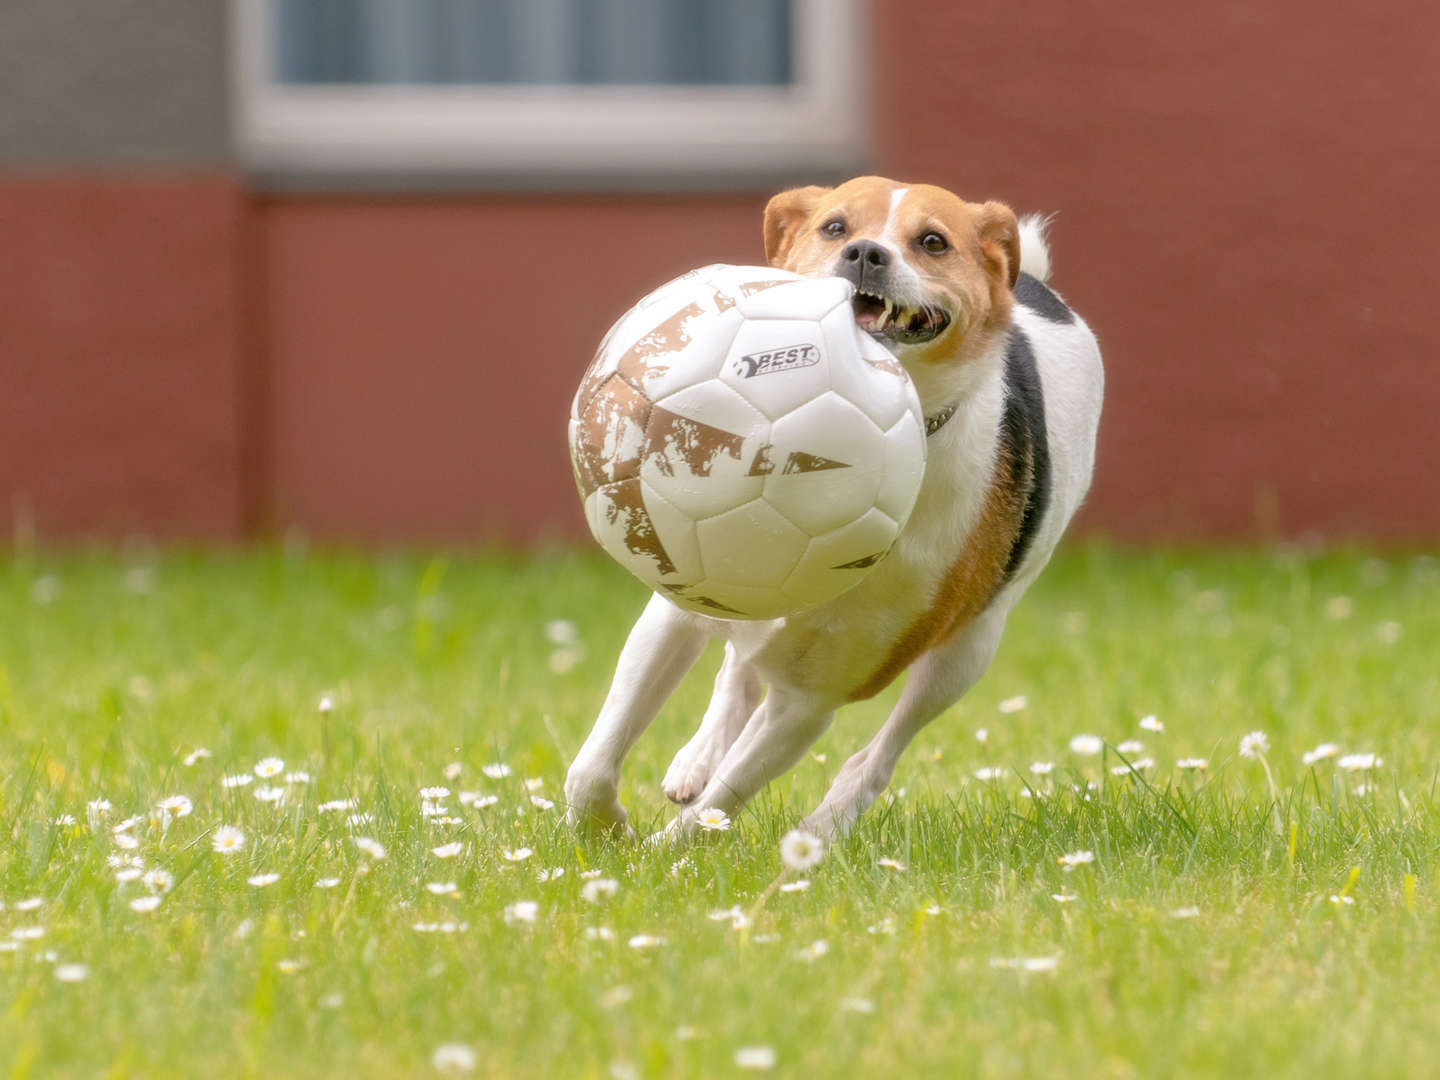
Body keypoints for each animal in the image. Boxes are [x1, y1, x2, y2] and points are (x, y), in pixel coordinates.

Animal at [561, 173, 1100, 840]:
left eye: (933, 241)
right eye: (835, 227)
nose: (865, 252)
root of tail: (1039, 288)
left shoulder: (812, 699)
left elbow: (719, 804)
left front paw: (663, 851)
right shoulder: (675, 611)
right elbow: (593, 763)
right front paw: (603, 828)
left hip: (967, 652)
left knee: (879, 754)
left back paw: (826, 826)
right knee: (736, 673)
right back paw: (698, 757)